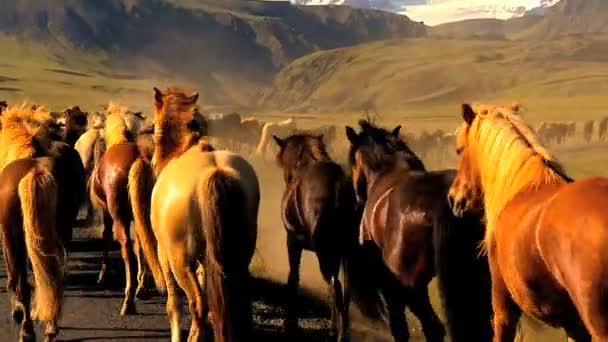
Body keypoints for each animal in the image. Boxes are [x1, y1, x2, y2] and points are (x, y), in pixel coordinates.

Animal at [0, 104, 86, 342]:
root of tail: (36, 171)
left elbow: (14, 276)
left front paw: (17, 311)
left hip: (15, 238)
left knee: (23, 283)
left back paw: (27, 330)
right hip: (61, 232)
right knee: (55, 277)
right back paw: (50, 327)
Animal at [137, 87, 258, 342]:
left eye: (155, 128)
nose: (153, 163)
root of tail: (214, 171)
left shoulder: (164, 254)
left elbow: (174, 304)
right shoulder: (206, 259)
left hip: (180, 260)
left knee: (197, 304)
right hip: (240, 255)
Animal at [272, 132, 356, 340]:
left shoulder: (292, 241)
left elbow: (293, 278)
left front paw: (290, 325)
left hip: (326, 253)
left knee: (336, 287)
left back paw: (339, 334)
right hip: (346, 253)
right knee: (346, 289)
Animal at [344, 119, 492, 342]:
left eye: (353, 162)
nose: (358, 197)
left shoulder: (389, 279)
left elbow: (399, 325)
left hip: (412, 284)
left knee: (433, 327)